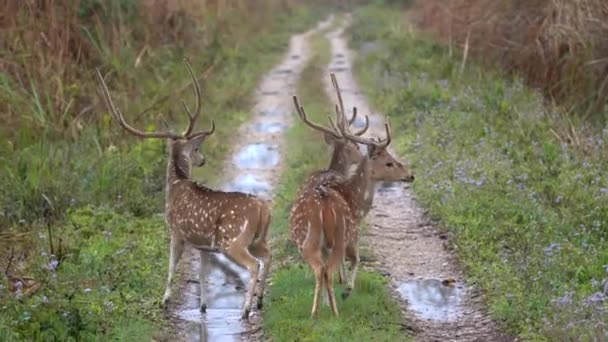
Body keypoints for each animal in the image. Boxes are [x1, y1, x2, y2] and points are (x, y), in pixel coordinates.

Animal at [94, 59, 270, 320]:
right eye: (196, 150)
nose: (203, 159)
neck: (175, 186)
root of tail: (263, 209)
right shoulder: (204, 244)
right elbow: (202, 275)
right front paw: (203, 306)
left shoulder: (176, 231)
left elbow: (171, 267)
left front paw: (164, 301)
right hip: (258, 239)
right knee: (268, 257)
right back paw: (259, 302)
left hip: (234, 239)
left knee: (254, 264)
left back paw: (246, 310)